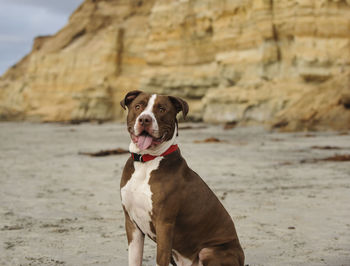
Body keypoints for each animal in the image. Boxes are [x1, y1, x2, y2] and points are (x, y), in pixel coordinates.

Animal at [119, 90, 243, 264]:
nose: (144, 119)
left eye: (162, 109)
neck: (147, 162)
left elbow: (160, 259)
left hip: (209, 251)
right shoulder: (131, 223)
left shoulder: (164, 223)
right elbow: (134, 259)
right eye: (138, 106)